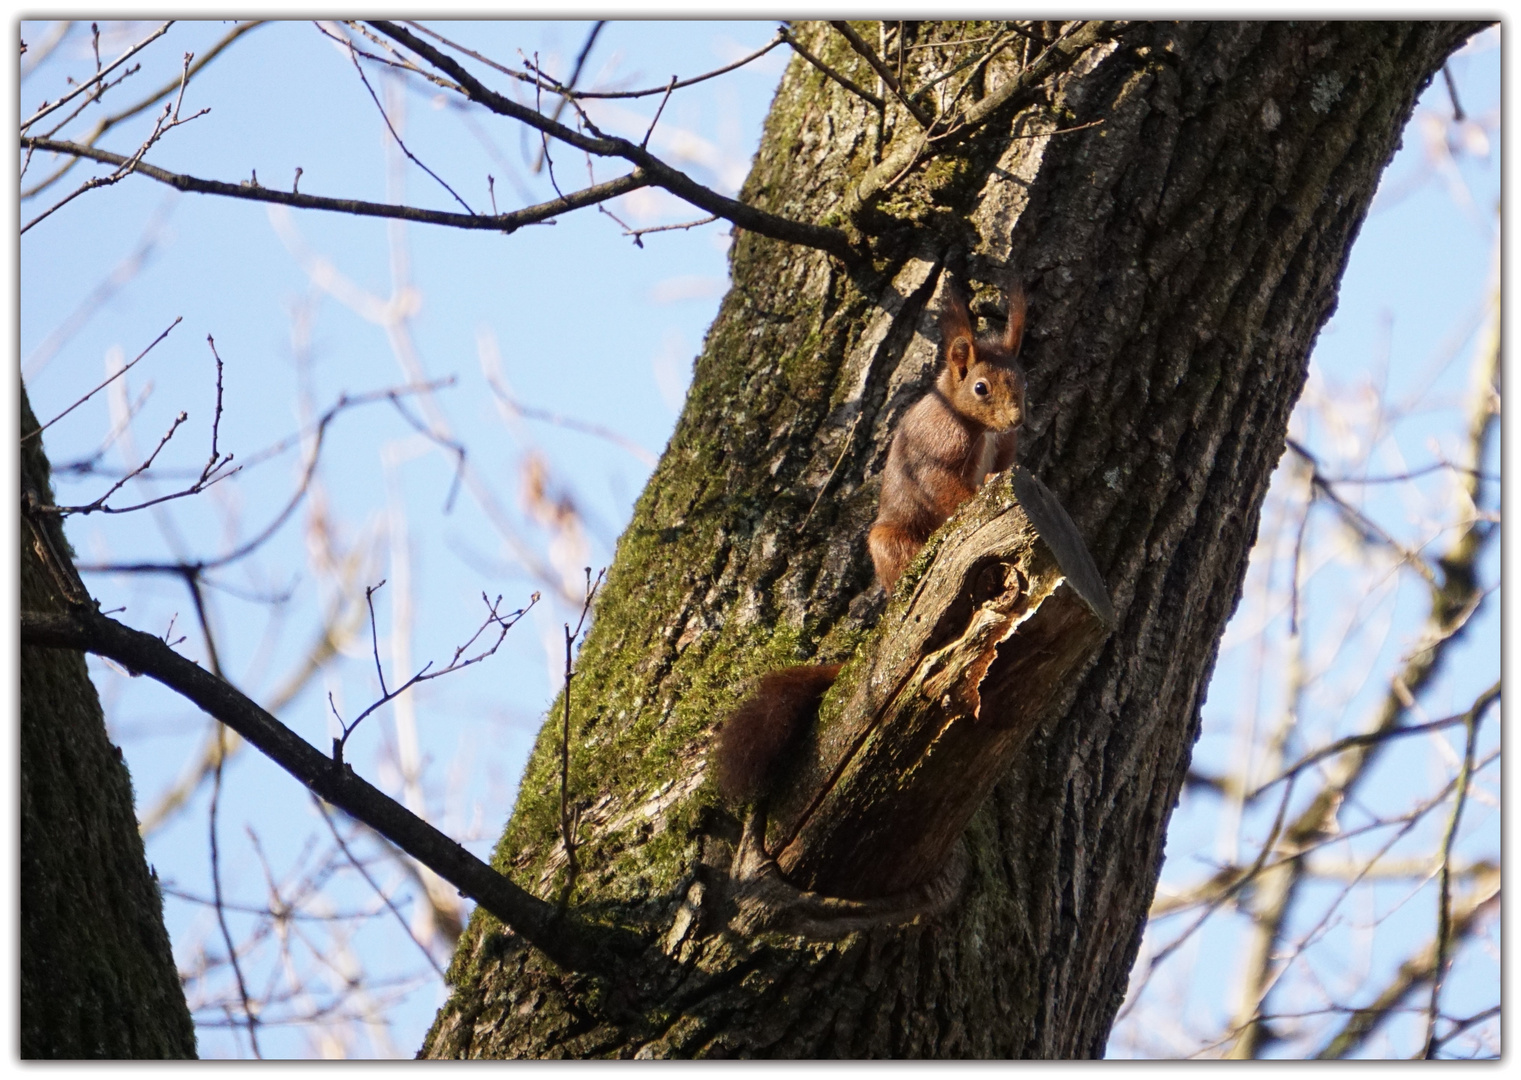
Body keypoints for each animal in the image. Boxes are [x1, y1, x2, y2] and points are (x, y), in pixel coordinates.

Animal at [714, 282, 1028, 809]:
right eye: (981, 388)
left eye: (1022, 380)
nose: (1017, 418)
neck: (978, 427)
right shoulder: (935, 452)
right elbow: (945, 490)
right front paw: (977, 496)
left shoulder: (1002, 449)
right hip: (890, 543)